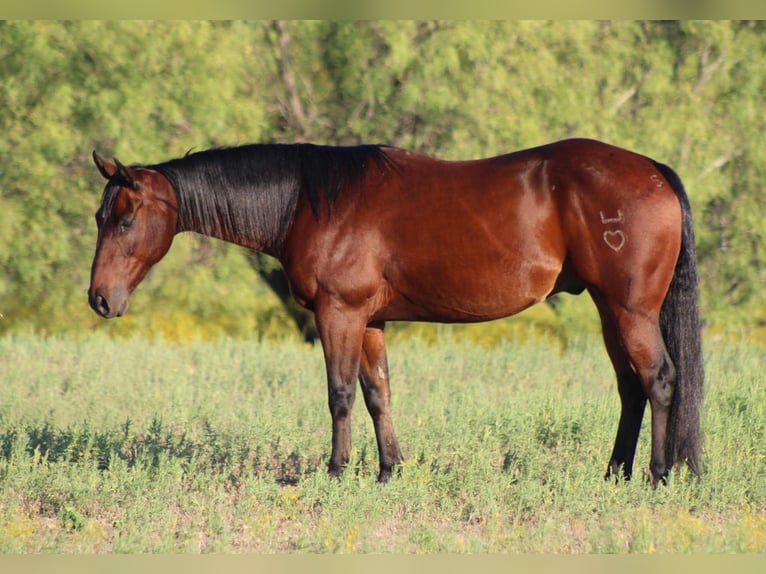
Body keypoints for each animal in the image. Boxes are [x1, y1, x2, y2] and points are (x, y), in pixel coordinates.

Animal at [88, 138, 703, 486]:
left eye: (124, 219)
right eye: (100, 216)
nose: (99, 299)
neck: (307, 200)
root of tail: (652, 170)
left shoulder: (339, 314)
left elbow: (339, 394)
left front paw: (335, 474)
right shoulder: (371, 321)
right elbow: (377, 393)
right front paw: (388, 472)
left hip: (630, 310)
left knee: (659, 379)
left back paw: (656, 477)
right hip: (608, 309)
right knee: (630, 387)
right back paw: (615, 475)